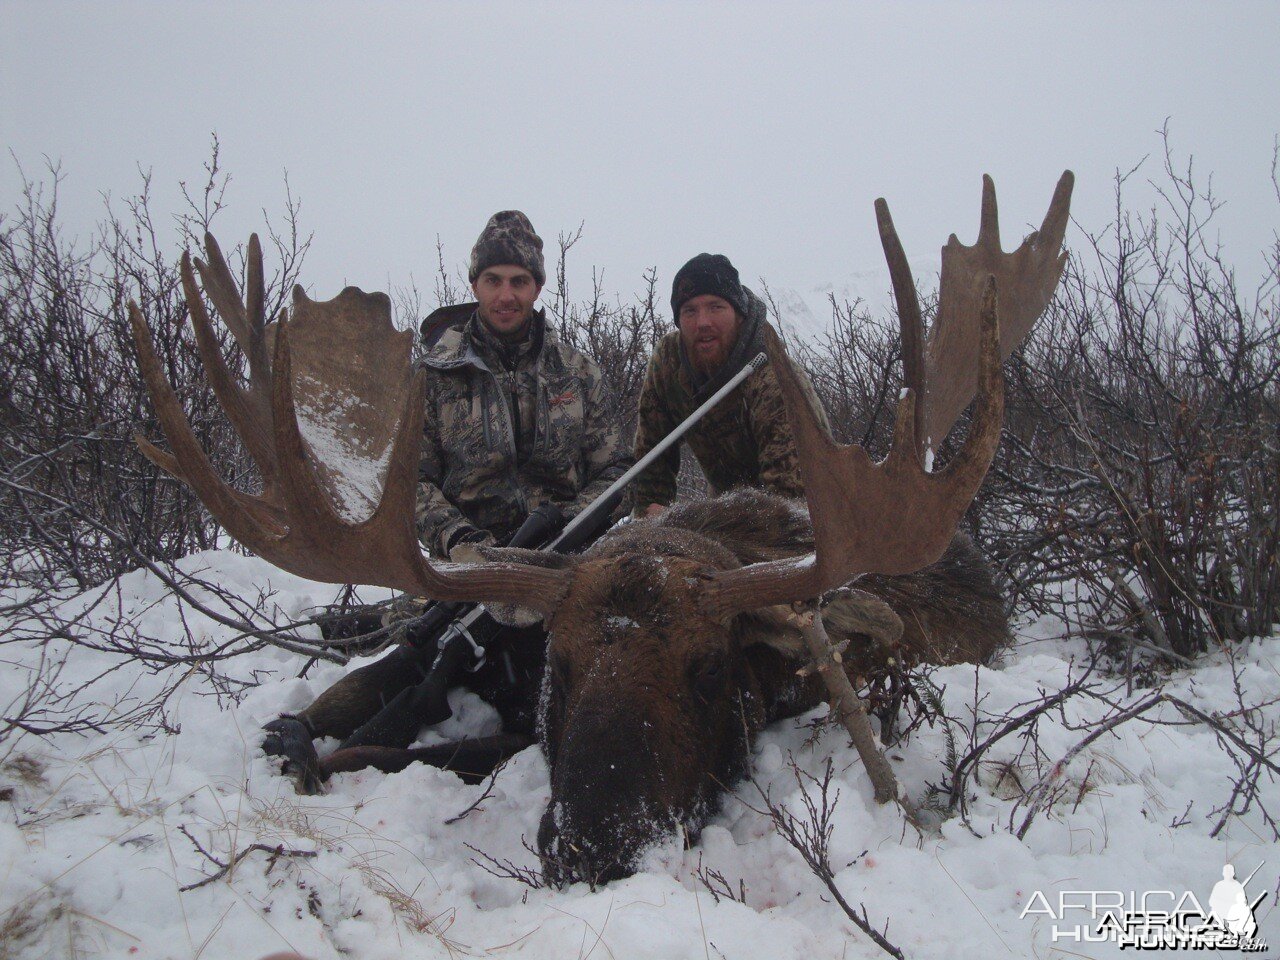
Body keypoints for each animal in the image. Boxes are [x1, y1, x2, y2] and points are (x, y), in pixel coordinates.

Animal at [129, 175, 1070, 885]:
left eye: (708, 666)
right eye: (565, 660)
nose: (594, 846)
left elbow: (410, 750)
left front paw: (324, 755)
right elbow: (355, 702)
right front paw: (300, 733)